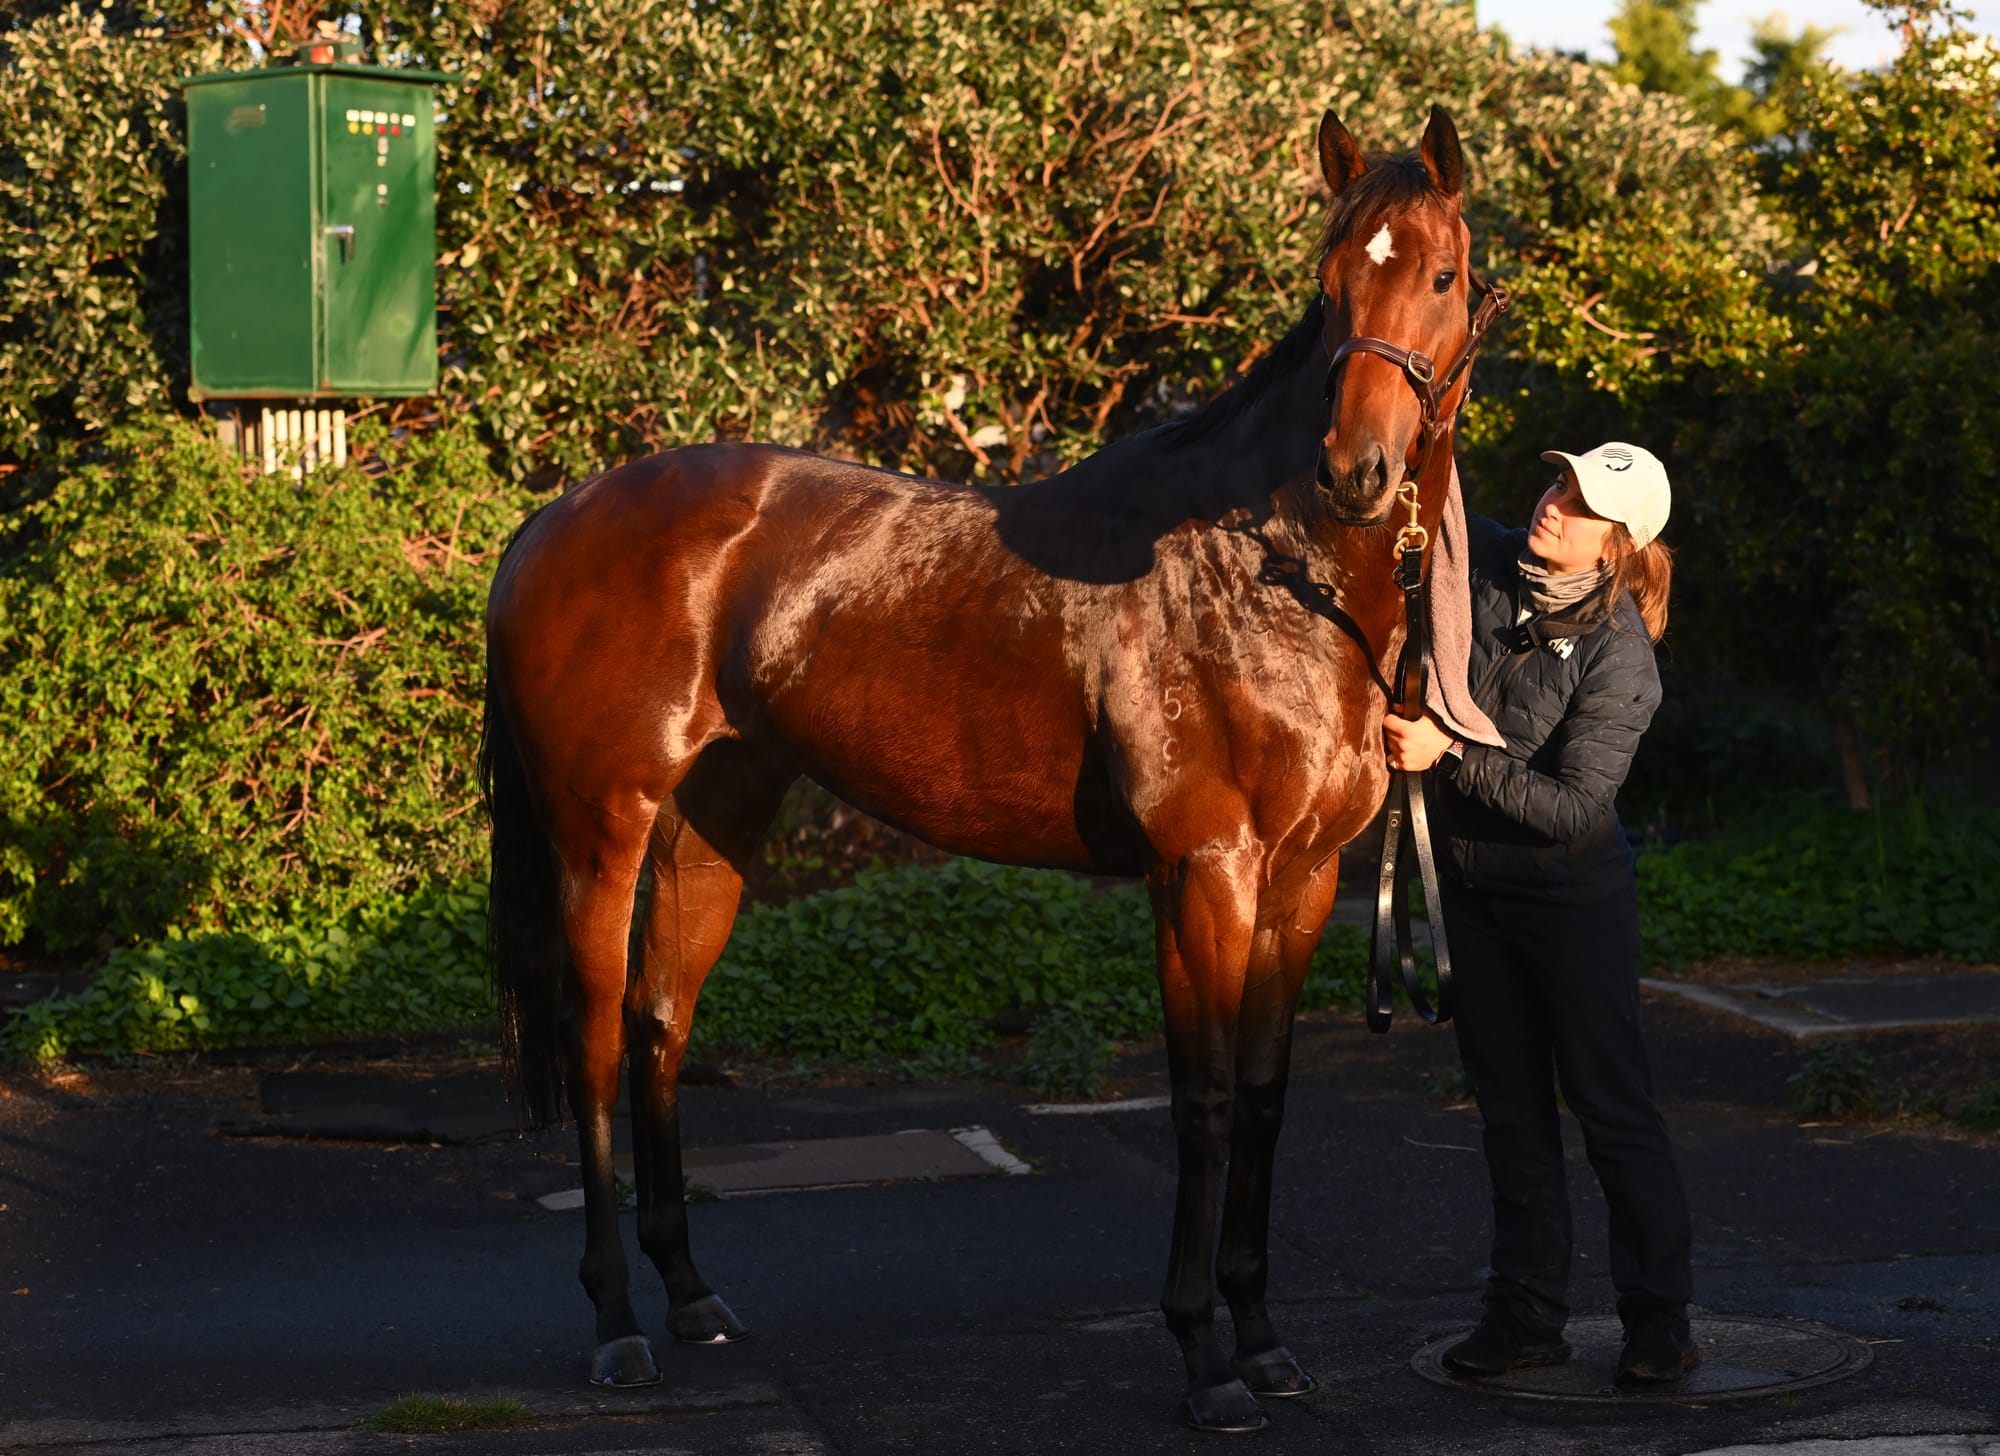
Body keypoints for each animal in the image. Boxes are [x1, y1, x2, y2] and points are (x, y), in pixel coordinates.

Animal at [484, 105, 1488, 1432]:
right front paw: (1205, 1357)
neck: (1267, 566)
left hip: (715, 822)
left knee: (659, 1022)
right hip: (602, 829)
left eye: (1440, 274)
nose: (1356, 471)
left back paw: (691, 1296)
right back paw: (614, 1326)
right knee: (596, 1038)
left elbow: (1267, 1099)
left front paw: (1264, 1340)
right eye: (1327, 286)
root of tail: (553, 521)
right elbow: (1207, 1099)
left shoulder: (1304, 881)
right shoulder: (1203, 871)